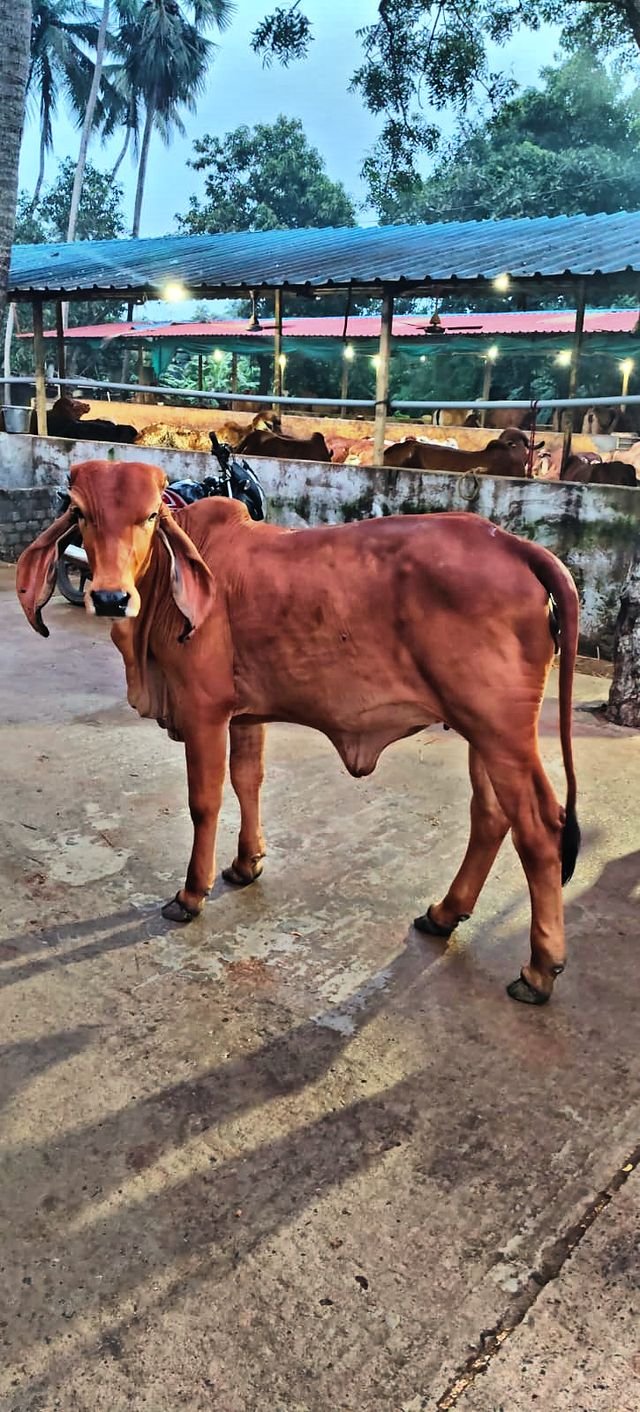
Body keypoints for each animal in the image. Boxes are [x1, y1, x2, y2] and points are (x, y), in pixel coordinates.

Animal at [17, 459, 581, 1007]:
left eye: (152, 515)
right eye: (81, 513)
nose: (111, 597)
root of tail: (516, 545)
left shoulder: (203, 711)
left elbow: (205, 801)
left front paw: (192, 893)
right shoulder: (244, 716)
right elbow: (247, 780)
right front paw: (246, 863)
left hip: (501, 730)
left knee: (539, 829)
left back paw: (540, 969)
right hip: (482, 731)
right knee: (490, 816)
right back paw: (444, 914)